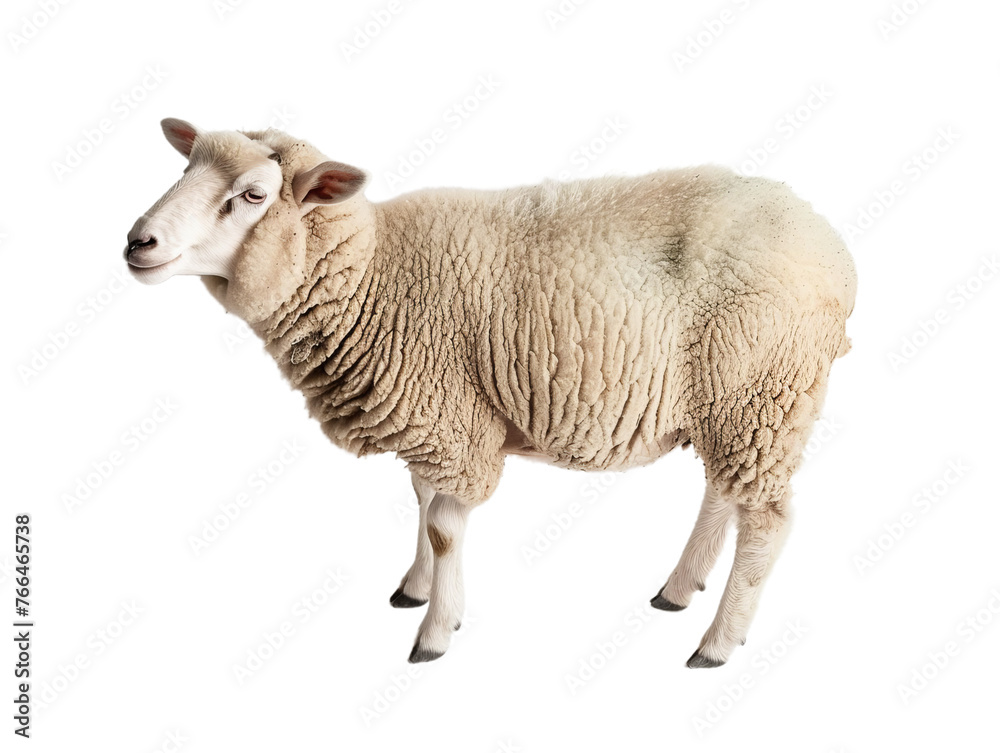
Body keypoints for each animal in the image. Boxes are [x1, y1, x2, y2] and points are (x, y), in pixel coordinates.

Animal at [124, 118, 856, 668]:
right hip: (730, 397)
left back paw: (717, 642)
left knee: (765, 518)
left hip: (762, 387)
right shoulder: (434, 417)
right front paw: (415, 588)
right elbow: (422, 501)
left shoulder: (456, 422)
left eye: (252, 195)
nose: (138, 241)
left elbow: (446, 525)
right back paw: (678, 589)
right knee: (723, 492)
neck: (374, 276)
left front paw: (435, 632)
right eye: (184, 169)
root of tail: (830, 246)